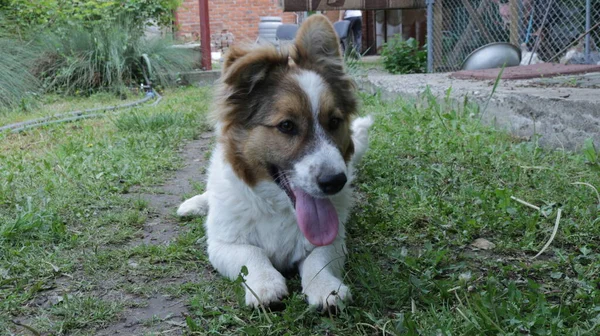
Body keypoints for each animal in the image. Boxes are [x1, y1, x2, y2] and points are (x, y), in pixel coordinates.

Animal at [178, 15, 372, 310]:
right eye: (286, 126)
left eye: (335, 121)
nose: (336, 182)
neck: (279, 207)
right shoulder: (223, 244)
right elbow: (252, 255)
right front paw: (265, 284)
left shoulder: (334, 239)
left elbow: (317, 259)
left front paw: (325, 287)